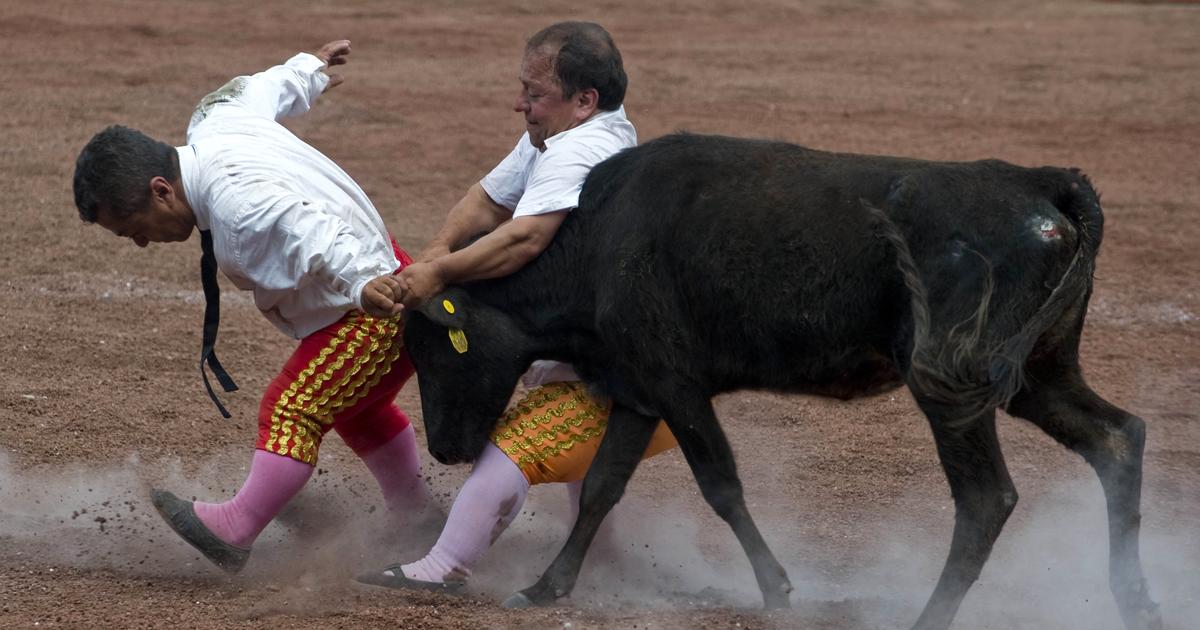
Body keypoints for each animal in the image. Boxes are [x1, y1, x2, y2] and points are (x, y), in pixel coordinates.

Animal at [405, 133, 1161, 628]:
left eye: (438, 350)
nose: (443, 449)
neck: (599, 243)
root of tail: (1042, 183)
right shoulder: (639, 391)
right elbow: (601, 488)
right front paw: (546, 588)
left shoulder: (677, 387)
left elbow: (720, 485)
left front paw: (776, 589)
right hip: (1039, 375)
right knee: (1117, 438)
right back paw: (1138, 603)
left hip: (952, 385)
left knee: (986, 499)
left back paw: (930, 617)